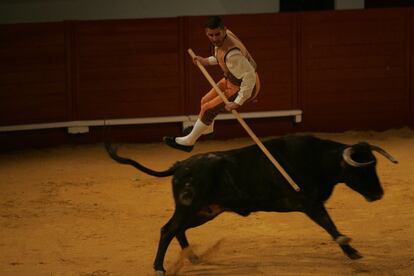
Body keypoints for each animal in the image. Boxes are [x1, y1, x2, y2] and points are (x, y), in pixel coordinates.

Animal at [105, 134, 396, 274]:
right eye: (362, 170)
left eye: (375, 166)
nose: (379, 194)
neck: (318, 159)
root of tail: (179, 166)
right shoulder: (309, 203)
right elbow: (330, 226)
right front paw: (352, 251)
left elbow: (331, 227)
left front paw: (352, 251)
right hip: (190, 205)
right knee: (168, 229)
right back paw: (159, 267)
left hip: (205, 210)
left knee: (179, 229)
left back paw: (193, 256)